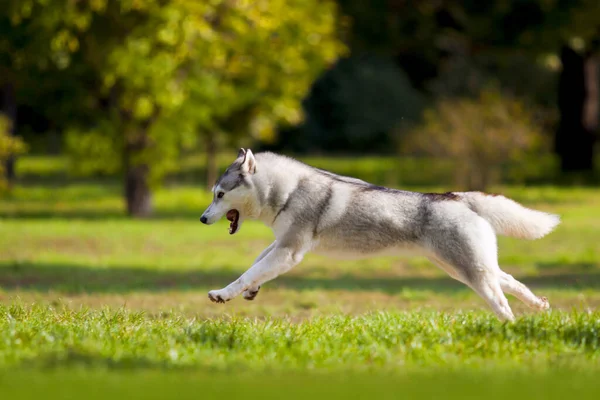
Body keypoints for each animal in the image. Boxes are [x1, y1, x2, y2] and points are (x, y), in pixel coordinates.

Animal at [199, 148, 560, 320]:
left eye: (219, 194)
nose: (202, 219)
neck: (287, 191)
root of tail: (455, 196)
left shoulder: (290, 250)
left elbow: (249, 271)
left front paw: (224, 293)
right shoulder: (282, 243)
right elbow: (256, 262)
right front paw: (250, 291)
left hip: (471, 272)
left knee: (501, 301)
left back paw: (511, 327)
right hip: (462, 267)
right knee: (511, 281)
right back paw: (538, 306)